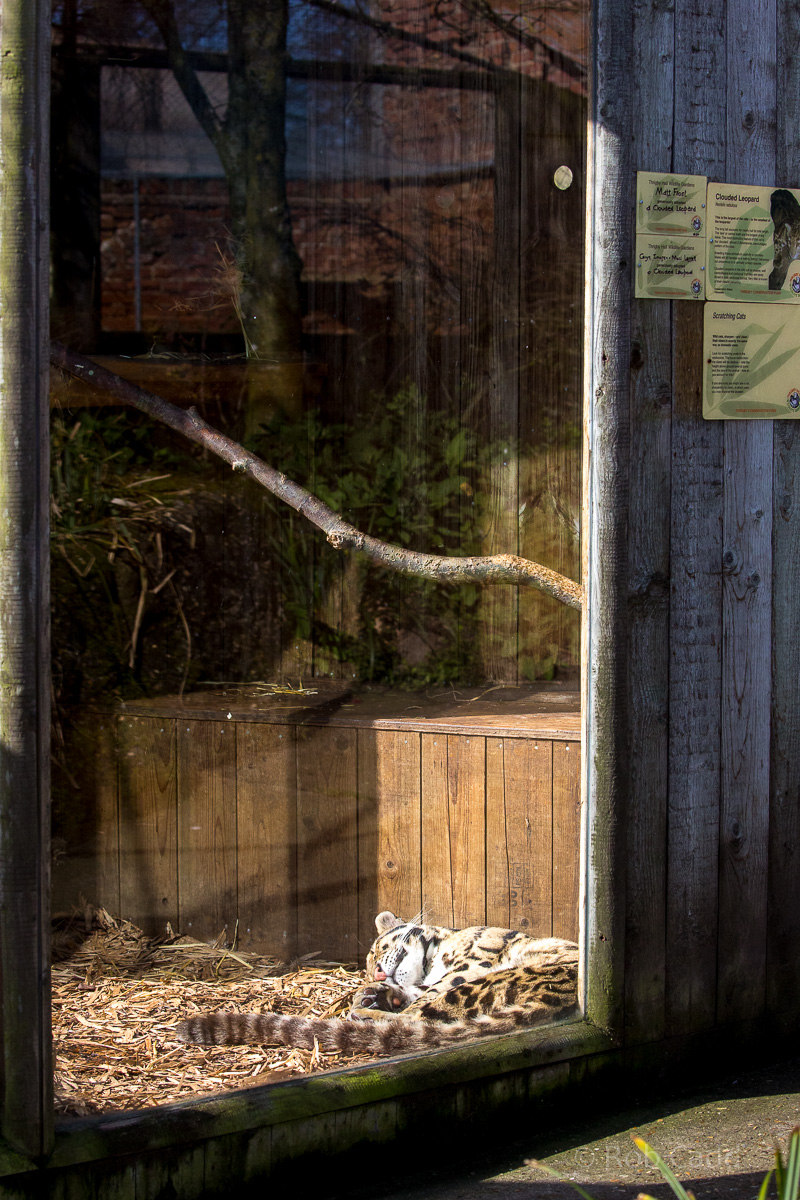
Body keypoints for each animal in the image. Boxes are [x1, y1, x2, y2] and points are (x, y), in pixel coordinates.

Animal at [175, 910, 579, 1056]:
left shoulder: (469, 964)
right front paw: (374, 993)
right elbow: (414, 991)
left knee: (418, 1019)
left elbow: (426, 995)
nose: (377, 974)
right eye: (369, 965)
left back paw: (362, 1014)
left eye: (378, 949)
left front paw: (368, 998)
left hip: (488, 979)